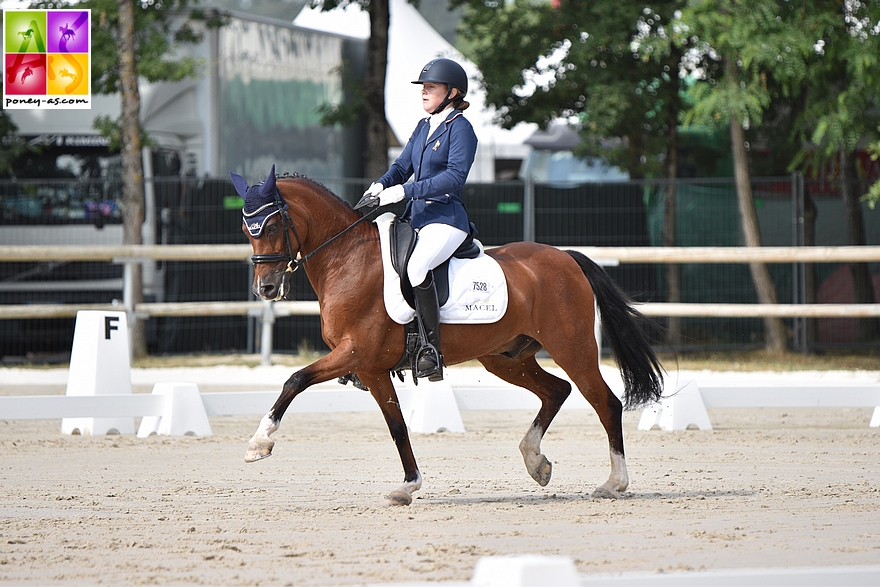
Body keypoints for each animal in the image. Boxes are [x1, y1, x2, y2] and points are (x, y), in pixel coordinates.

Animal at [237, 169, 664, 506]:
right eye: (247, 230)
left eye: (270, 227)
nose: (266, 288)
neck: (348, 259)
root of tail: (565, 257)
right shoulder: (372, 368)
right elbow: (397, 426)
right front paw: (407, 487)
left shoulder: (354, 352)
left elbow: (295, 379)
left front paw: (259, 443)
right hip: (506, 358)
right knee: (556, 390)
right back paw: (535, 462)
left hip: (572, 348)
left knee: (605, 402)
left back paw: (613, 483)